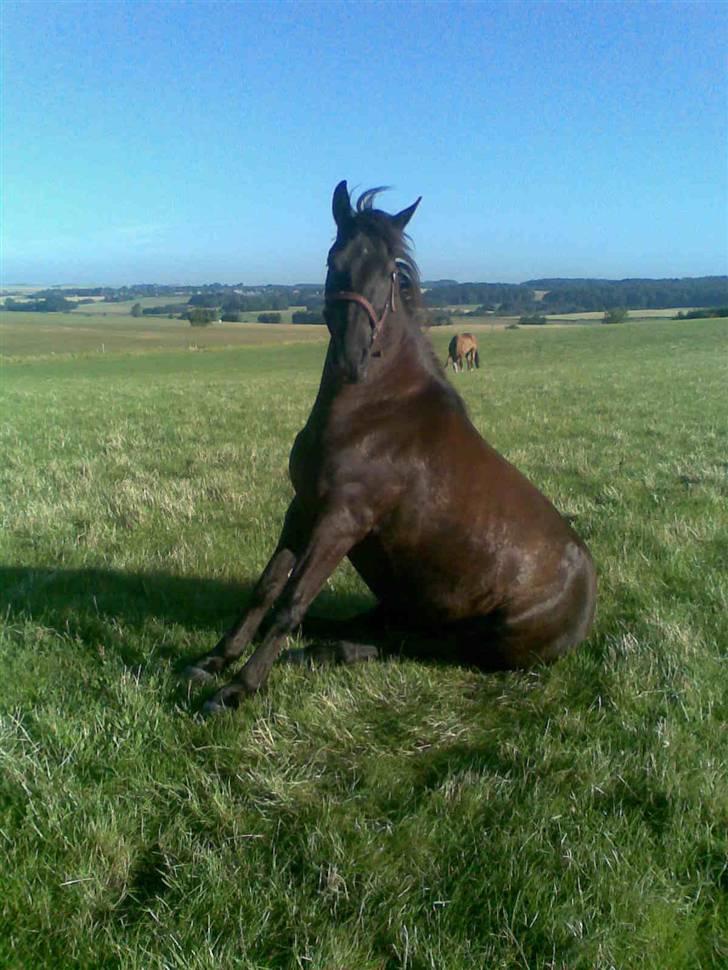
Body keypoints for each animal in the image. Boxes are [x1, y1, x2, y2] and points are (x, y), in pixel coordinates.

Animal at [183, 180, 596, 712]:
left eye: (388, 273)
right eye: (333, 259)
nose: (352, 360)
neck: (377, 411)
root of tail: (586, 605)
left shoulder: (342, 520)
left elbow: (291, 603)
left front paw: (238, 688)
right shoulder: (303, 507)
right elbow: (267, 588)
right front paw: (216, 658)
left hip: (483, 638)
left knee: (420, 646)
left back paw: (322, 651)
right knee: (383, 629)